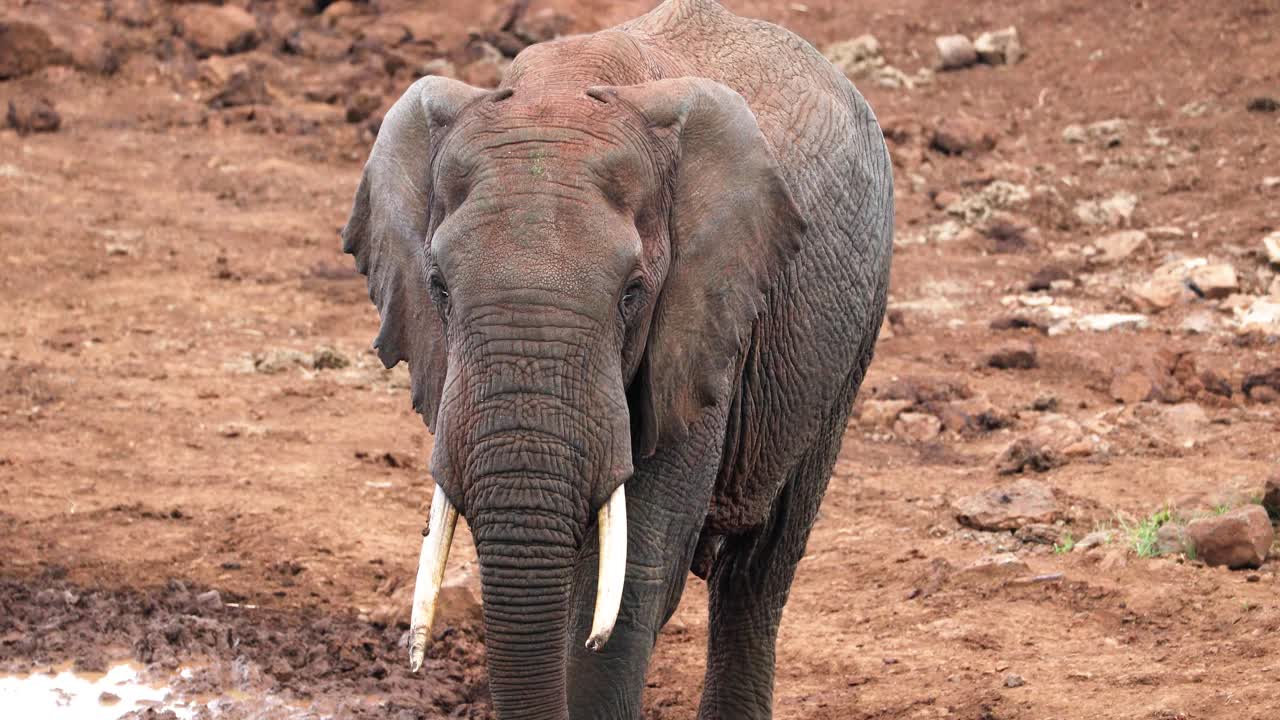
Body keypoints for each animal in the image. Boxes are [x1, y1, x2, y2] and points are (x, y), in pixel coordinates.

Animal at [340, 1, 893, 718]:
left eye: (633, 294)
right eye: (437, 286)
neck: (565, 85)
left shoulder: (704, 322)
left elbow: (630, 583)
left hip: (851, 337)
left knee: (757, 574)